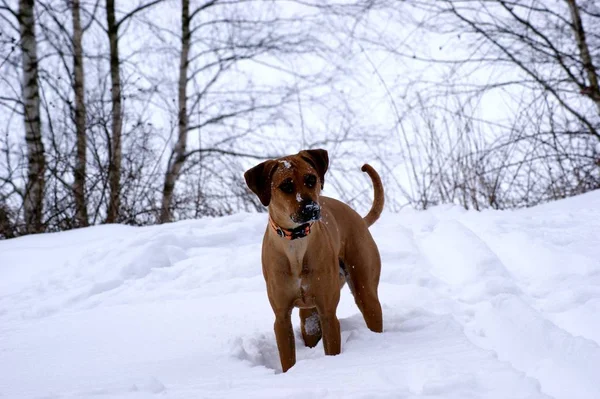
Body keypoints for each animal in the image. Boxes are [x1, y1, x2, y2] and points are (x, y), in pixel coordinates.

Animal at [244, 148, 384, 374]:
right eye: (286, 186)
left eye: (311, 179)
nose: (311, 208)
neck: (296, 243)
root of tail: (359, 219)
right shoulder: (281, 317)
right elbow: (287, 358)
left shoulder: (328, 313)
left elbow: (332, 347)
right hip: (309, 318)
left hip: (365, 289)